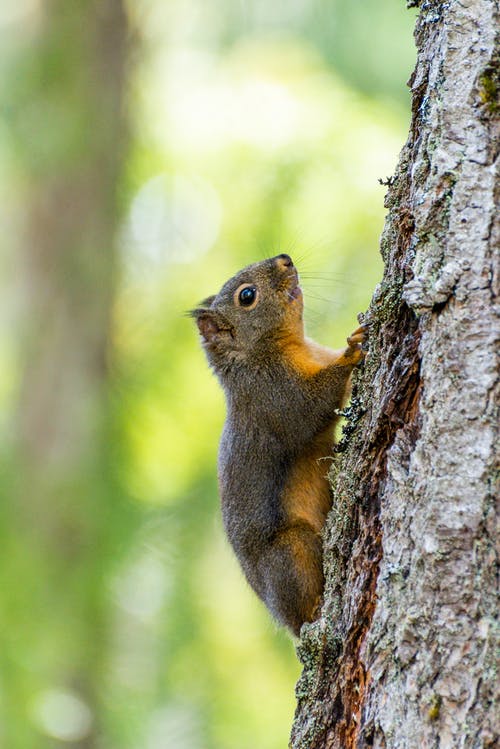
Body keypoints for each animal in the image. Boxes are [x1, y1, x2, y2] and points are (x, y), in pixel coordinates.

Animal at [191, 254, 368, 636]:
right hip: (291, 550)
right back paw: (315, 610)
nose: (285, 259)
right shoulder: (274, 396)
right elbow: (311, 409)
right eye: (247, 296)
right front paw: (352, 353)